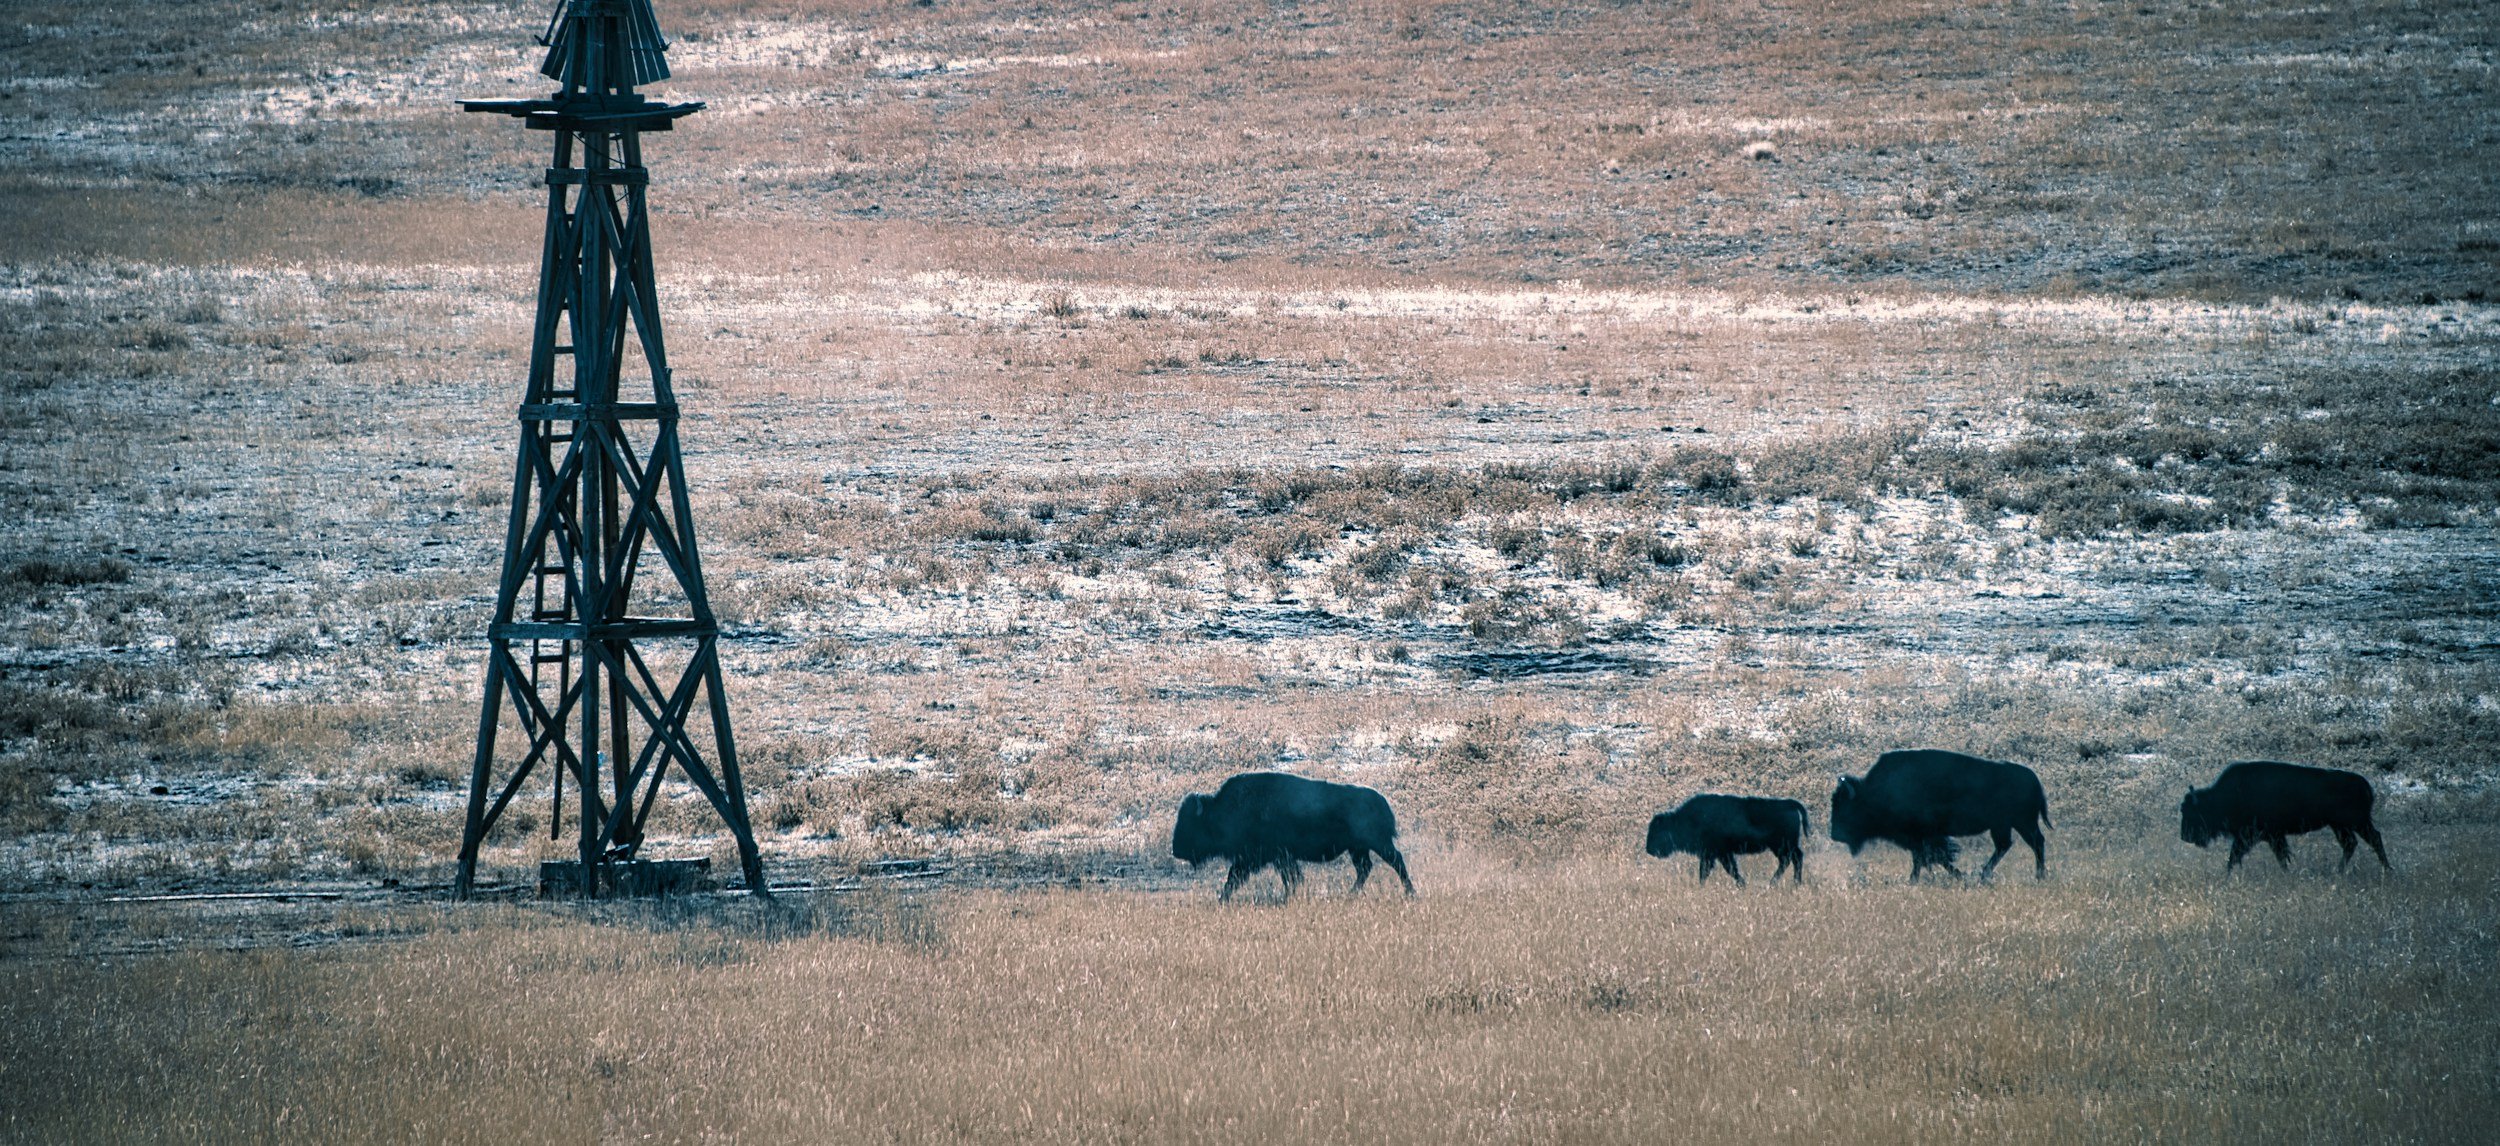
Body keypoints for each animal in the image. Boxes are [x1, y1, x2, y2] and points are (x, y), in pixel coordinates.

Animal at [1170, 771, 1413, 902]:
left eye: (1191, 824)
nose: (1176, 850)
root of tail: (1382, 801)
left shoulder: (1258, 857)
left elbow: (1235, 877)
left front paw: (1222, 899)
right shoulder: (1280, 858)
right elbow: (1290, 877)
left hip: (1378, 843)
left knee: (1396, 861)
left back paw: (1410, 893)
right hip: (1358, 848)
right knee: (1365, 868)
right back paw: (1350, 894)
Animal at [1645, 794, 1809, 885]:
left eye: (1657, 831)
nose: (1648, 849)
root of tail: (1790, 803)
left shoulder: (1715, 853)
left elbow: (1711, 870)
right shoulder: (1719, 854)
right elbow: (1728, 869)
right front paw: (1742, 884)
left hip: (1782, 845)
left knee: (1792, 859)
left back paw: (1782, 883)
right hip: (1782, 846)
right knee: (1791, 859)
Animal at [1830, 749, 2052, 880]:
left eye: (1845, 807)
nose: (1834, 834)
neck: (1876, 791)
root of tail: (2034, 779)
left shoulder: (1922, 835)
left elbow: (1928, 856)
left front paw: (1914, 879)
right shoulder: (1922, 837)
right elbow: (1931, 857)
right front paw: (1957, 875)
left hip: (2022, 822)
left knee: (2035, 843)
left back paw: (2037, 876)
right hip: (2005, 825)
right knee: (2007, 845)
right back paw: (1984, 874)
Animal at [2180, 761, 2389, 873]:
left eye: (2193, 813)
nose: (2184, 837)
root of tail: (2365, 785)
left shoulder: (2253, 836)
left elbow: (2235, 855)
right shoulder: (2273, 836)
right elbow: (2280, 855)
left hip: (2356, 823)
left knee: (2373, 839)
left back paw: (2385, 870)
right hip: (2340, 826)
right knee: (2351, 843)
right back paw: (2340, 871)